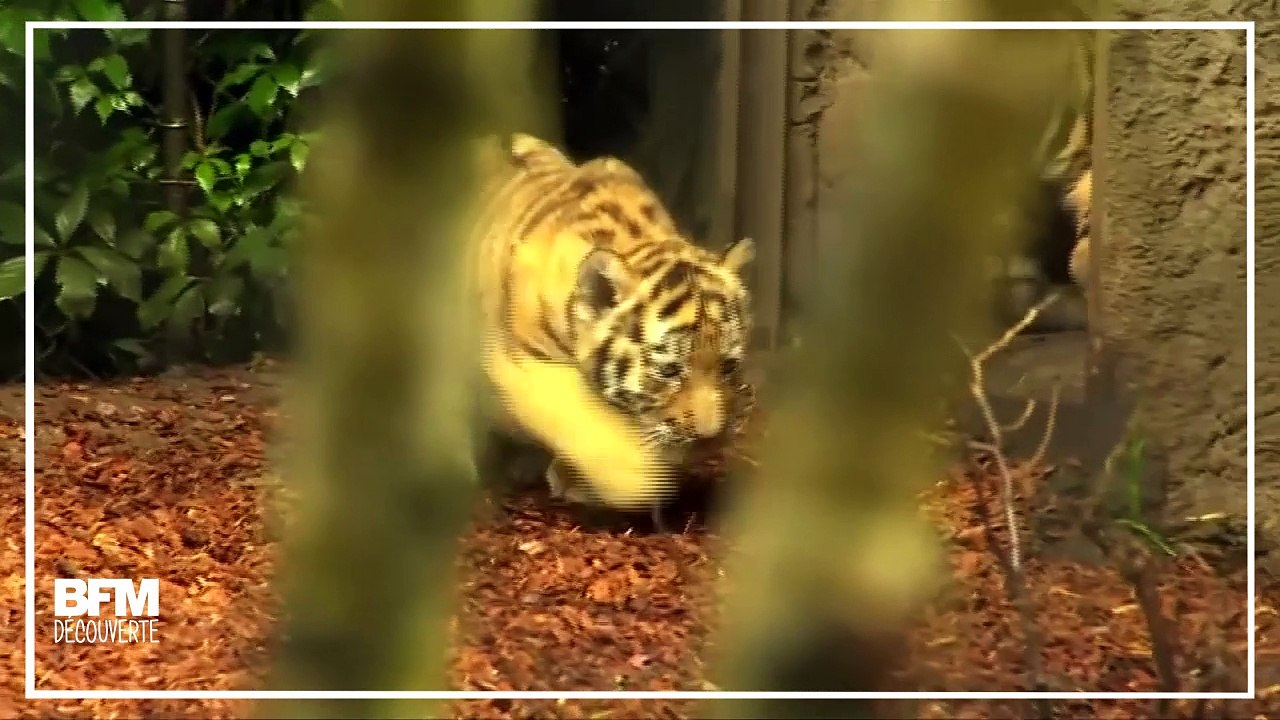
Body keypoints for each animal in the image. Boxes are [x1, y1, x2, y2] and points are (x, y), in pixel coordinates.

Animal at [464, 132, 755, 517]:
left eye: (728, 366)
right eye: (668, 371)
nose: (708, 438)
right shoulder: (525, 362)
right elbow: (582, 420)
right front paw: (630, 478)